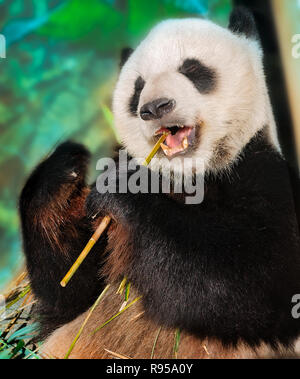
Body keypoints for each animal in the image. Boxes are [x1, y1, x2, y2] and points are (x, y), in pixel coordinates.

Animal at [18, 7, 300, 360]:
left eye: (193, 70)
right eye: (137, 88)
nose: (154, 107)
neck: (189, 176)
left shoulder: (264, 178)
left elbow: (253, 284)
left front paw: (125, 189)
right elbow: (71, 295)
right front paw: (64, 172)